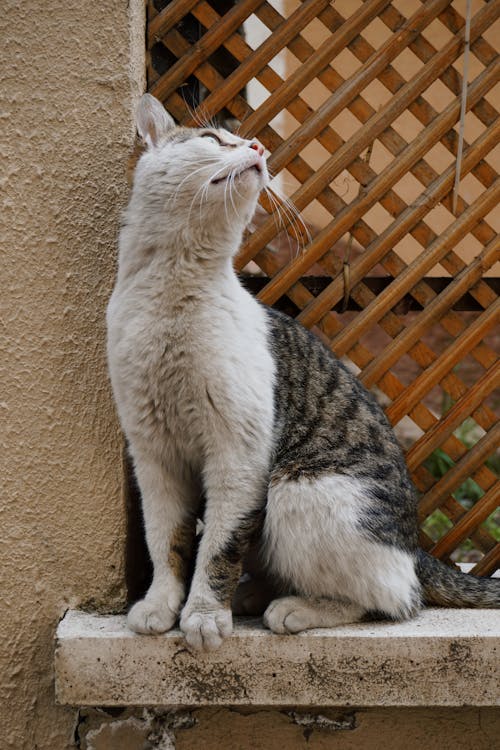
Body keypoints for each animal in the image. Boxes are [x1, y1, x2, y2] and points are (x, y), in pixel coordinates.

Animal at [106, 94, 500, 656]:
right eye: (214, 139)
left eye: (239, 140)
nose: (257, 146)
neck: (174, 295)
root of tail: (414, 545)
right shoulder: (153, 451)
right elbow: (168, 540)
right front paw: (162, 603)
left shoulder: (239, 456)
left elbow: (218, 547)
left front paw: (203, 614)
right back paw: (254, 595)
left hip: (297, 490)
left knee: (395, 598)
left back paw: (293, 608)